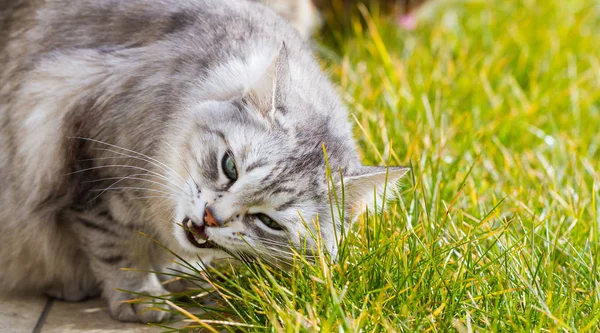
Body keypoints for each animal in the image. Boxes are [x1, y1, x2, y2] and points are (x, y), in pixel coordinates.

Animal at [0, 0, 408, 322]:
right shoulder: (91, 163)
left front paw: (179, 277)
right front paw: (142, 297)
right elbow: (118, 248)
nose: (212, 217)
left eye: (268, 221)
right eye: (230, 167)